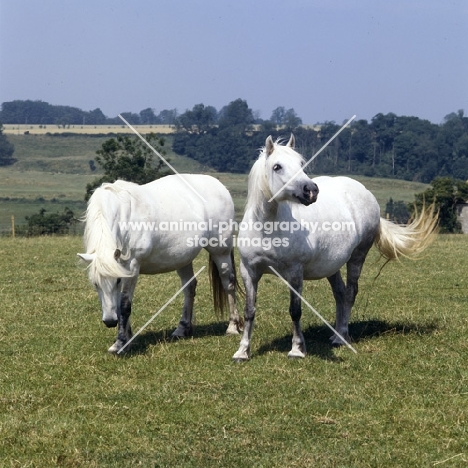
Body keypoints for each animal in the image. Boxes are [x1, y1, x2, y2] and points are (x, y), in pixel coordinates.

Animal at [77, 174, 243, 352]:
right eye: (95, 284)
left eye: (117, 281)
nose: (109, 321)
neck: (122, 217)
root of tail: (219, 186)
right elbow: (121, 304)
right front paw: (128, 338)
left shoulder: (131, 268)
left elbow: (124, 305)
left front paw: (120, 343)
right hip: (183, 259)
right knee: (189, 287)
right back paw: (182, 329)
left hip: (221, 252)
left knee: (228, 284)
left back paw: (232, 327)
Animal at [232, 135, 436, 362]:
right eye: (277, 166)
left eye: (301, 164)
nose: (310, 190)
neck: (268, 227)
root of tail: (365, 192)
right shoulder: (249, 271)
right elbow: (249, 310)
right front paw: (242, 351)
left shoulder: (294, 273)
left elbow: (295, 310)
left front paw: (297, 349)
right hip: (332, 266)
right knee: (340, 293)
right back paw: (336, 334)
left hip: (357, 257)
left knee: (350, 293)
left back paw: (341, 337)